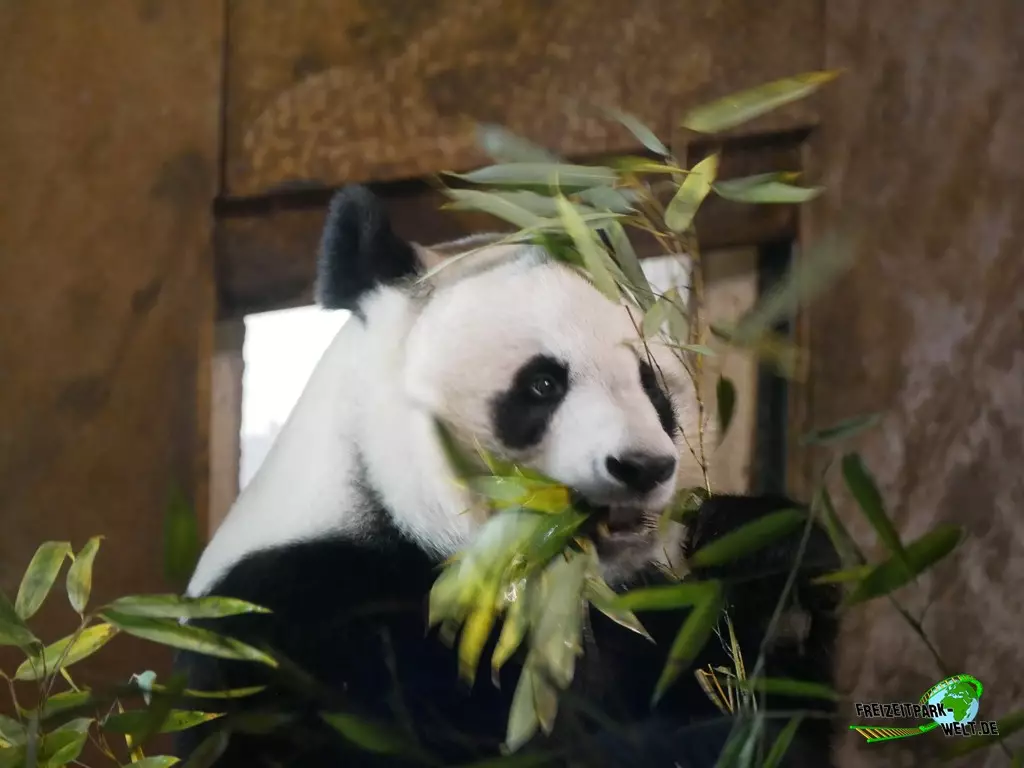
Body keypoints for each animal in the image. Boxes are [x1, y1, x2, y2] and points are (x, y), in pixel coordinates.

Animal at [175, 185, 840, 767]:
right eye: (543, 384)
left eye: (653, 386)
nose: (642, 466)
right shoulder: (307, 625)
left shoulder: (631, 611)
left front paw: (767, 555)